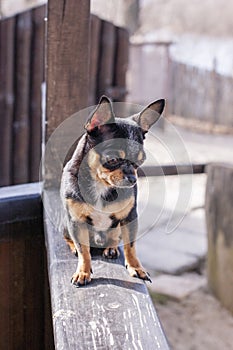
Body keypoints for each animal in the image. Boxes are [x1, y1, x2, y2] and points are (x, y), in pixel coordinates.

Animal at [61, 96, 165, 288]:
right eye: (113, 159)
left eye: (140, 161)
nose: (132, 179)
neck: (101, 186)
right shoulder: (76, 221)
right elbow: (84, 250)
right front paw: (83, 272)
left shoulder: (130, 217)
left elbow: (131, 247)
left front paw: (136, 268)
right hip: (66, 224)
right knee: (72, 241)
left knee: (115, 238)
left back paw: (111, 248)